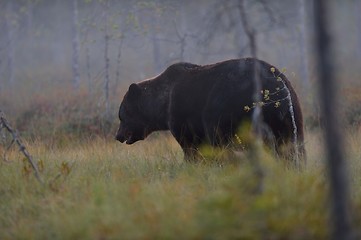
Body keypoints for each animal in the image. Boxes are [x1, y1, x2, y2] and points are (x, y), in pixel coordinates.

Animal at [115, 58, 304, 163]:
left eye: (121, 114)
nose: (118, 136)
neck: (163, 104)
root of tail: (279, 81)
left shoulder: (181, 116)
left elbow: (191, 147)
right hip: (289, 115)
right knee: (291, 145)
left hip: (234, 109)